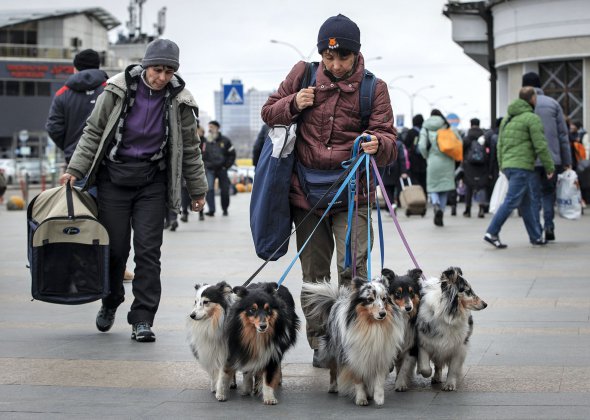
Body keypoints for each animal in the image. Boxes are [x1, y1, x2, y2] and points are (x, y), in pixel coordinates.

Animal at [300, 278, 408, 406]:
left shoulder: (379, 356)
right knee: (333, 369)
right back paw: (333, 387)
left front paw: (378, 398)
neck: (371, 325)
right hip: (333, 349)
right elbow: (358, 380)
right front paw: (361, 398)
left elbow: (378, 380)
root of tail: (337, 302)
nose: (383, 314)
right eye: (370, 299)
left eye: (384, 299)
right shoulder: (354, 357)